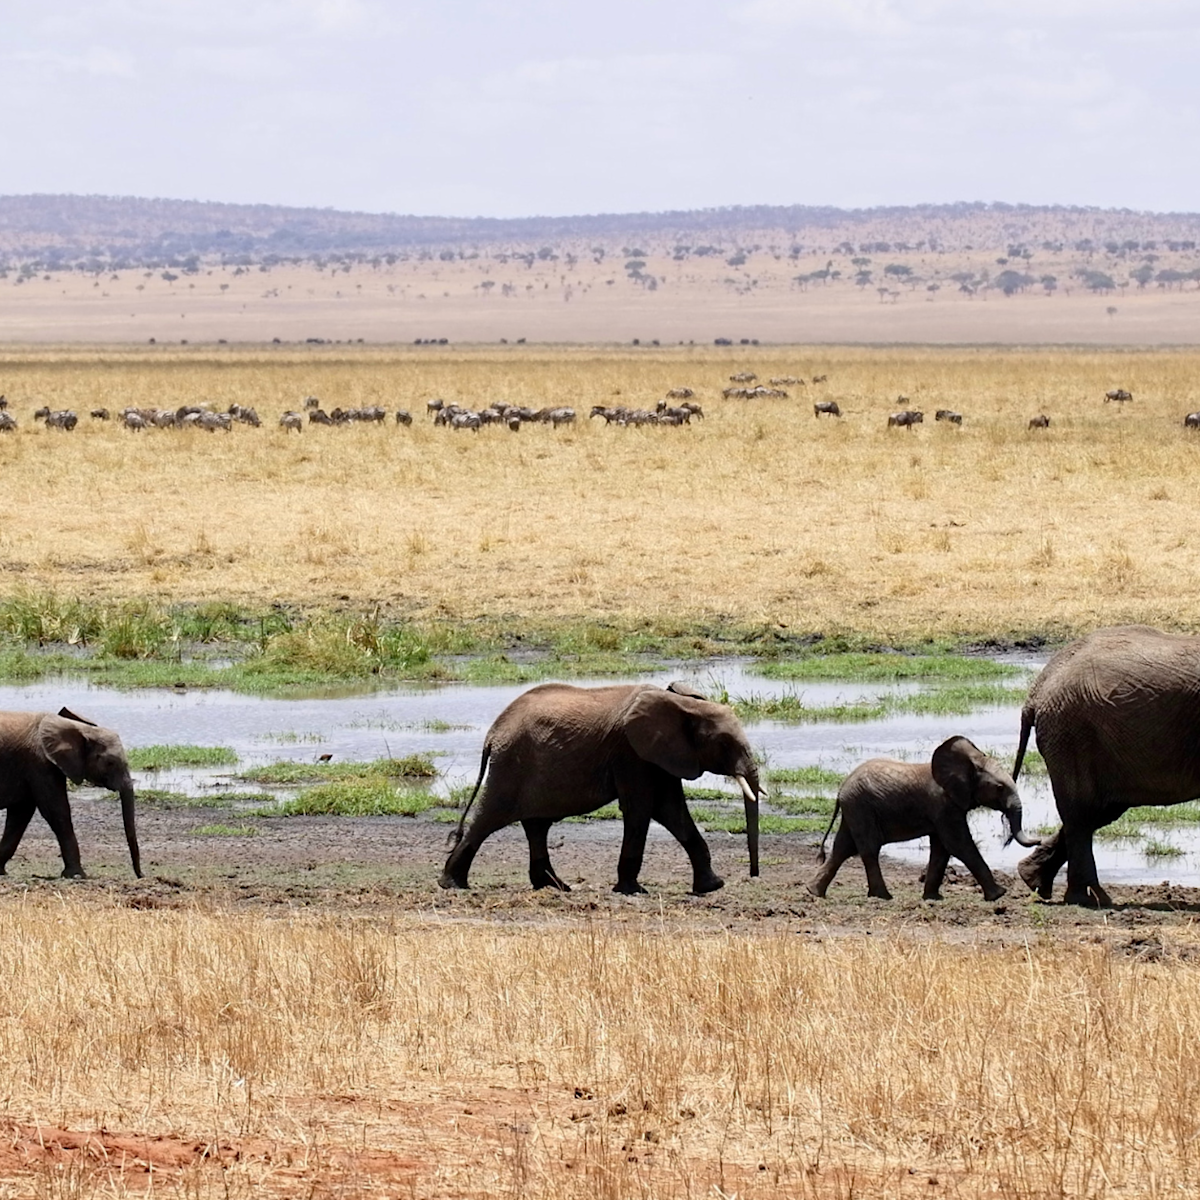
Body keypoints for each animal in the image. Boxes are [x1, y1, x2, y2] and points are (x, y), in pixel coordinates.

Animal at [0, 708, 141, 879]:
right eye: (110, 763)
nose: (141, 875)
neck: (80, 728)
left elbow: (20, 814)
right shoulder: (40, 764)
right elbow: (56, 811)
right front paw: (76, 875)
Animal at [440, 682, 764, 895]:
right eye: (724, 744)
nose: (754, 875)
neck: (685, 704)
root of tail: (492, 733)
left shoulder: (661, 755)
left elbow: (671, 810)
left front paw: (711, 887)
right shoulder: (631, 752)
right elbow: (642, 807)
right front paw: (632, 890)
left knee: (536, 826)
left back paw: (556, 886)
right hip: (510, 766)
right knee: (489, 818)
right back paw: (453, 884)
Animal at [807, 736, 1038, 901]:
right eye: (999, 788)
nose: (1038, 841)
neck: (969, 763)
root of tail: (840, 790)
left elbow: (942, 849)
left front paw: (933, 898)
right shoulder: (944, 805)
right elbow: (959, 844)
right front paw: (999, 895)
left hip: (854, 809)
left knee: (843, 847)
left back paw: (814, 892)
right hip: (861, 807)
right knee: (868, 849)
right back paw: (883, 897)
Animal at [1013, 625, 1200, 906]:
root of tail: (1038, 688)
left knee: (1096, 812)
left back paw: (1035, 881)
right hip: (1074, 733)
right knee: (1082, 813)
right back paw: (1091, 899)